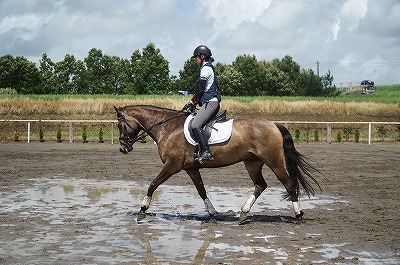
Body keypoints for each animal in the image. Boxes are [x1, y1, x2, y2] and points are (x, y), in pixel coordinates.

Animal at [114, 104, 320, 222]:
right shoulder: (191, 168)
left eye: (120, 125)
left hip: (274, 161)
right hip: (252, 163)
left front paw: (142, 209)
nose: (123, 148)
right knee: (260, 185)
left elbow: (153, 184)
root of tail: (273, 125)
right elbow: (201, 190)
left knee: (289, 184)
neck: (167, 127)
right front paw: (212, 213)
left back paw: (299, 215)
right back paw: (243, 213)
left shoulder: (172, 166)